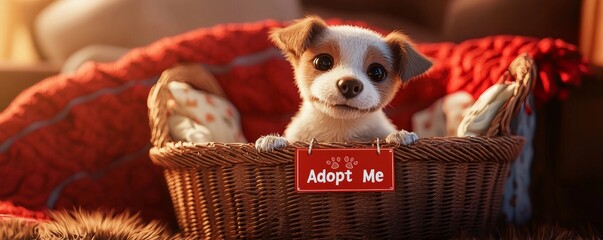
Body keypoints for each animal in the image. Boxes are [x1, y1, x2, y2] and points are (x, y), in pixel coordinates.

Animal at [256, 16, 434, 152]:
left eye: (377, 72)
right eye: (323, 62)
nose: (349, 84)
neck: (340, 128)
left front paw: (400, 135)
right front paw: (273, 139)